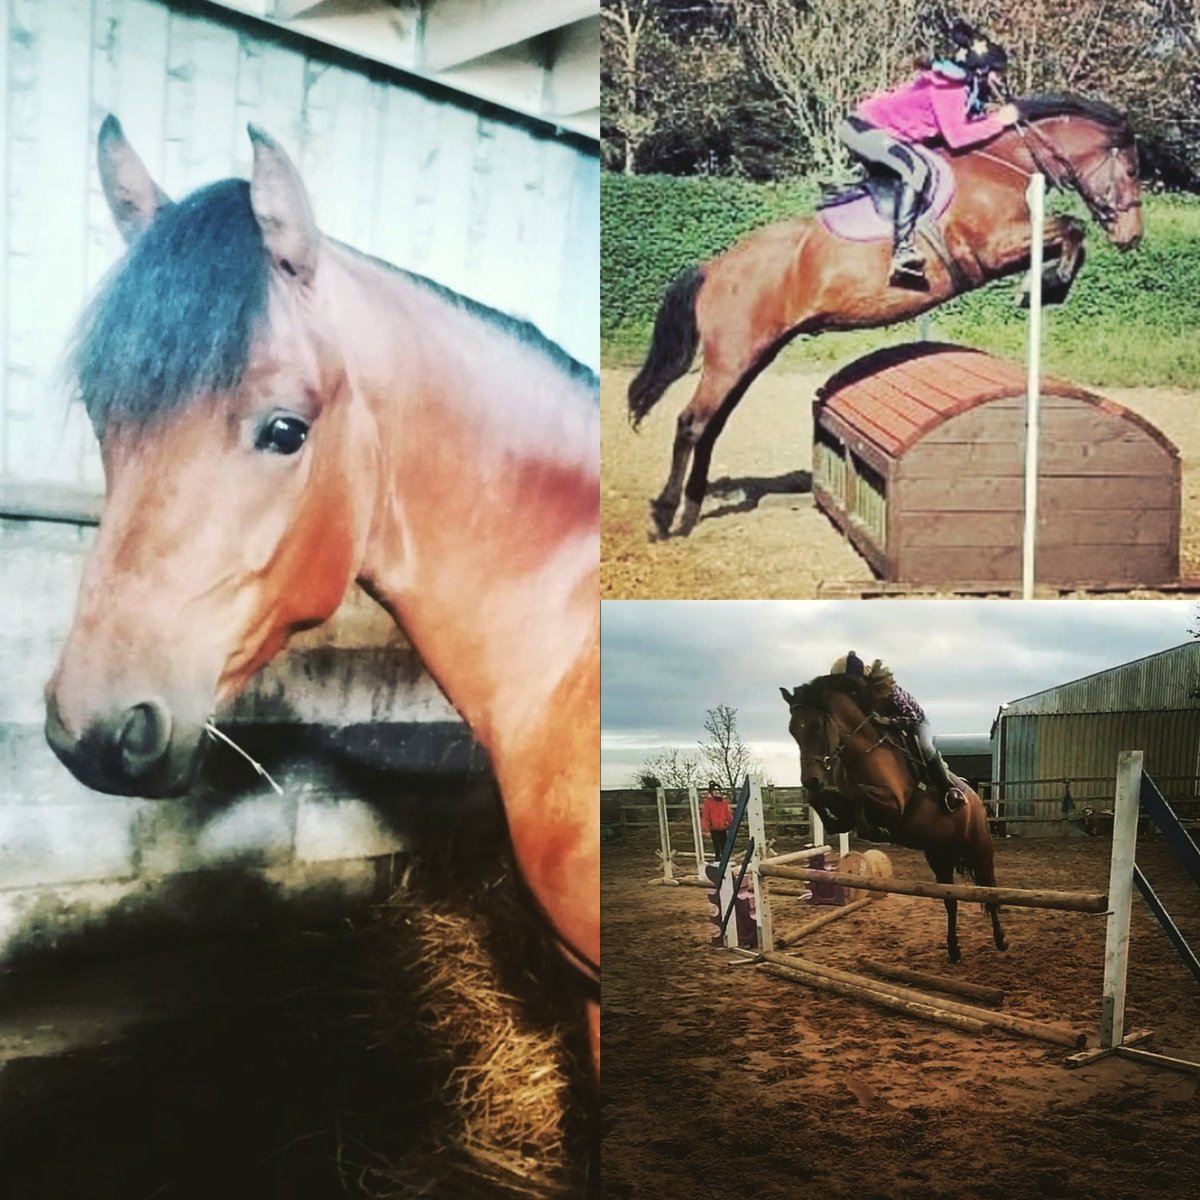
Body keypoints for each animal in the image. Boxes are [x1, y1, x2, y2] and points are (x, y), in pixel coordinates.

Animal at [629, 94, 1143, 538]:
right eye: (1132, 168)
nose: (1133, 236)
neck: (1003, 161)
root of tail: (714, 267)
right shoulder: (991, 249)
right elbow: (1072, 228)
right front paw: (1046, 286)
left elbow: (1069, 235)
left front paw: (1046, 284)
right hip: (733, 356)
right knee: (691, 422)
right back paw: (664, 514)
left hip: (752, 356)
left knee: (711, 425)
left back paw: (691, 510)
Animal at [780, 674, 1006, 964]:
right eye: (792, 730)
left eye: (818, 726)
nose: (810, 779)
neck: (863, 751)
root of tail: (976, 800)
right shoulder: (841, 800)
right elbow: (822, 800)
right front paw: (837, 820)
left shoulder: (894, 806)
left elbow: (858, 792)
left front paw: (876, 831)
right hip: (939, 855)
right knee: (950, 900)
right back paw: (954, 950)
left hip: (979, 850)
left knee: (989, 892)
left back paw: (1001, 940)